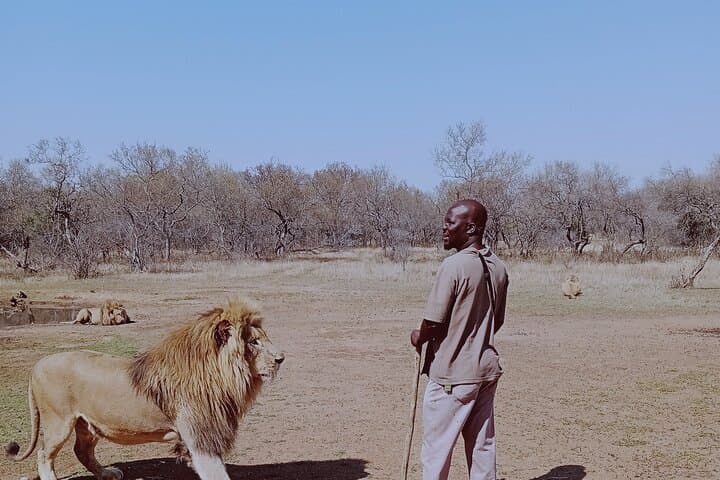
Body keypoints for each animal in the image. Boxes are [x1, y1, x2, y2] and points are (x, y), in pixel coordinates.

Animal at [5, 299, 284, 480]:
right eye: (254, 342)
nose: (281, 358)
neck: (217, 375)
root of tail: (37, 365)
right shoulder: (202, 436)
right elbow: (215, 473)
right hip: (59, 422)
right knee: (44, 455)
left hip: (88, 425)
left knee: (81, 452)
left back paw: (107, 473)